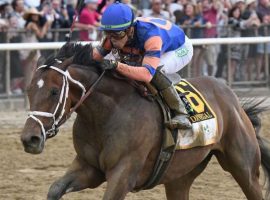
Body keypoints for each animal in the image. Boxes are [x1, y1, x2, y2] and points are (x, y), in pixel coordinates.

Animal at [20, 43, 270, 199]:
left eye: (54, 92)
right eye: (29, 90)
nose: (29, 139)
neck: (105, 114)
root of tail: (232, 98)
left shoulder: (124, 173)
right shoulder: (89, 168)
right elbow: (55, 189)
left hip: (244, 168)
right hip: (180, 175)